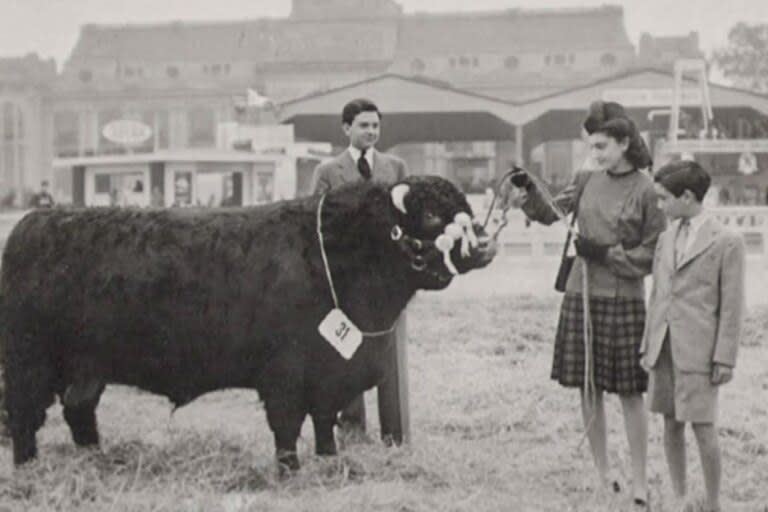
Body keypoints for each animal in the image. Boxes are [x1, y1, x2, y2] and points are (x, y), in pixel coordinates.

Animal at [0, 175, 498, 468]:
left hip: (87, 367)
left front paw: (328, 460)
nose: (482, 247)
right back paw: (28, 467)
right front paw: (289, 469)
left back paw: (96, 459)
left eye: (467, 211)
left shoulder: (330, 372)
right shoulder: (285, 373)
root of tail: (33, 223)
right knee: (24, 415)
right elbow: (287, 424)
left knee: (79, 410)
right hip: (29, 362)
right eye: (431, 214)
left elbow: (325, 420)